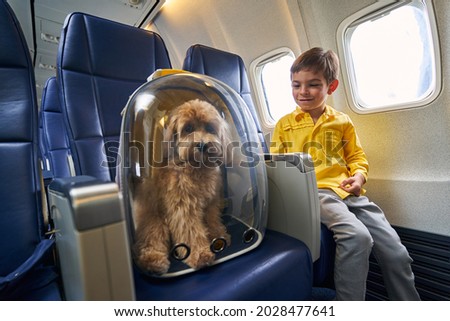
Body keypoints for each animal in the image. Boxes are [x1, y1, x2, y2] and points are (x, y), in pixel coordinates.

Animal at [133, 97, 232, 272]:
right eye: (188, 128)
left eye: (210, 128)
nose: (202, 145)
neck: (196, 167)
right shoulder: (184, 208)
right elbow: (191, 232)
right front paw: (200, 255)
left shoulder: (211, 203)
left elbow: (213, 221)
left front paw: (219, 237)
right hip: (155, 221)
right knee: (151, 241)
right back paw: (153, 261)